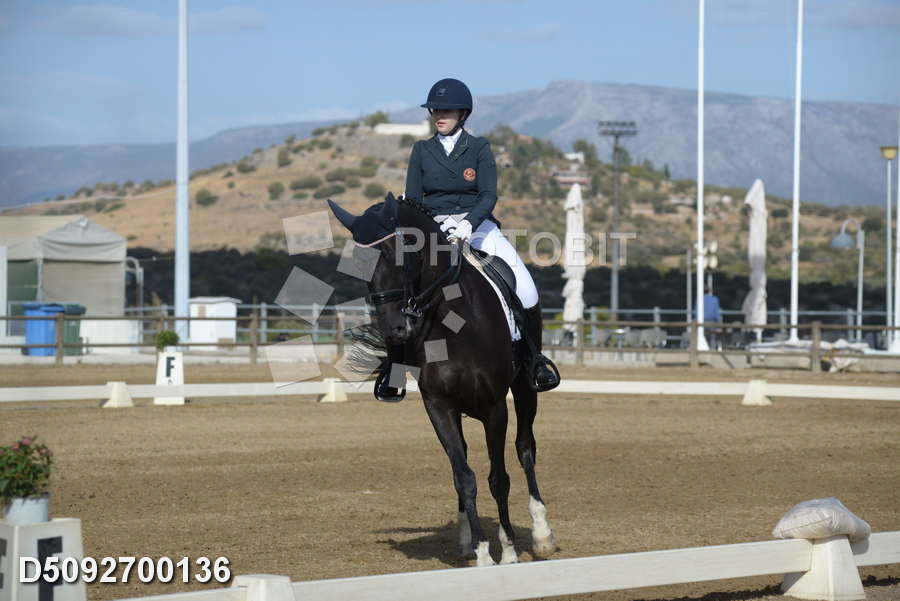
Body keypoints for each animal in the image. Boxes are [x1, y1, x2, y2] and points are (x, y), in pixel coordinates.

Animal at [327, 193, 557, 566]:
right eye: (359, 260)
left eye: (398, 250)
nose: (395, 330)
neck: (453, 321)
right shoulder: (439, 406)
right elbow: (463, 476)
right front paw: (481, 551)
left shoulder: (495, 408)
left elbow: (499, 479)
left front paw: (508, 551)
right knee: (463, 462)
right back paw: (465, 540)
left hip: (525, 388)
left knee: (525, 448)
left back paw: (542, 534)